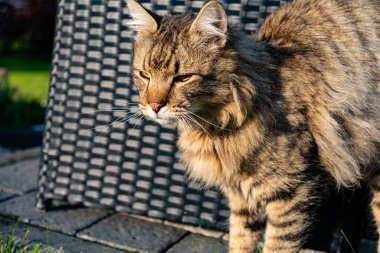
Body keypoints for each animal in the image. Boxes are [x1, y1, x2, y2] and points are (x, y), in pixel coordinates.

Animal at [125, 0, 380, 252]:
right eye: (144, 74)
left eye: (183, 78)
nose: (154, 105)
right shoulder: (241, 195)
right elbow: (240, 241)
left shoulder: (292, 192)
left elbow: (276, 246)